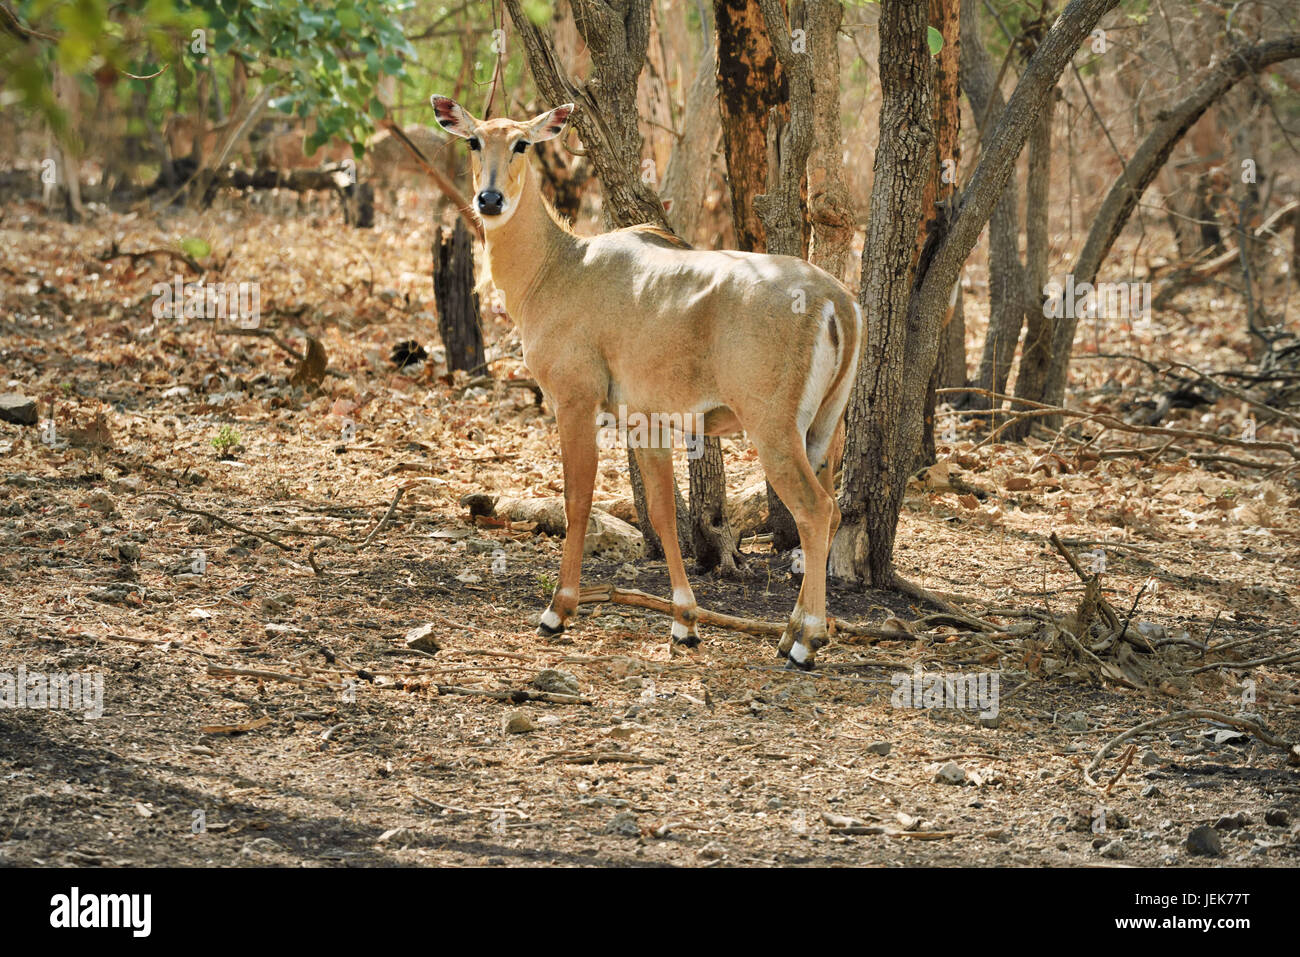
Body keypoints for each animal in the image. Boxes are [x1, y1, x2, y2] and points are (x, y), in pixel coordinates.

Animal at [431, 95, 863, 665]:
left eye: (522, 143)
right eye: (474, 141)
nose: (490, 199)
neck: (558, 267)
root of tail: (838, 302)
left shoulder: (574, 399)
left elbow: (578, 499)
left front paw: (558, 610)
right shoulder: (648, 419)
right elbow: (661, 512)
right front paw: (685, 621)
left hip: (773, 427)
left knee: (815, 510)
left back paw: (808, 640)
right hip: (825, 429)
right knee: (829, 511)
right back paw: (790, 631)